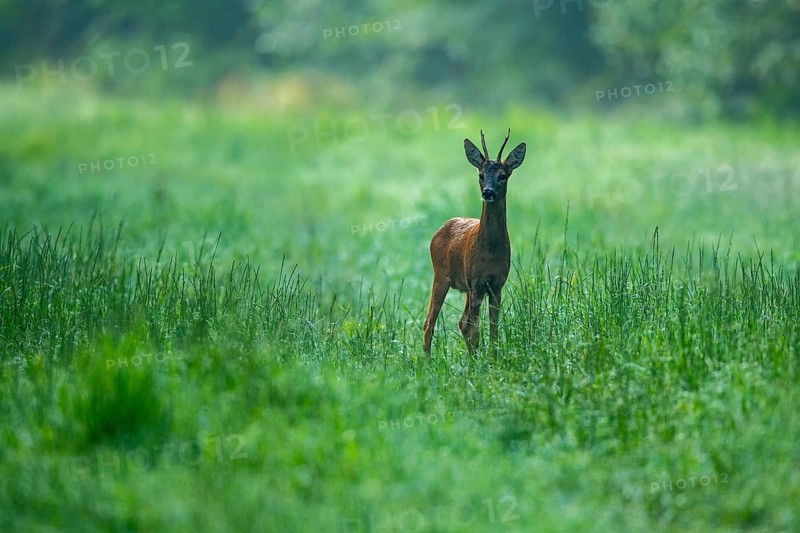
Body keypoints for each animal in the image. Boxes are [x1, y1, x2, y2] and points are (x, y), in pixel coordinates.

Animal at [423, 129, 526, 357]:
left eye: (502, 175)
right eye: (480, 175)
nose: (487, 192)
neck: (490, 251)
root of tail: (441, 227)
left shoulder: (497, 283)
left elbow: (493, 328)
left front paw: (493, 357)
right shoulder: (477, 282)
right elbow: (475, 328)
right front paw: (480, 361)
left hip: (465, 287)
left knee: (462, 322)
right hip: (441, 275)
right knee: (430, 322)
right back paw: (426, 361)